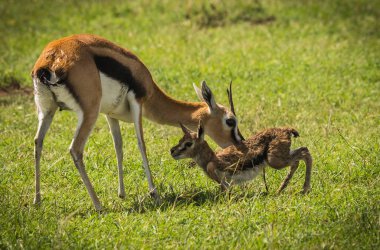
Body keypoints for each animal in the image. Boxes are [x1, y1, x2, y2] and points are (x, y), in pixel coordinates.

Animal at [171, 123, 314, 193]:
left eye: (188, 143)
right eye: (180, 140)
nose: (172, 151)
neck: (212, 158)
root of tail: (286, 130)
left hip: (275, 161)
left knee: (305, 153)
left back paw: (304, 189)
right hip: (282, 157)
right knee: (300, 156)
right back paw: (282, 190)